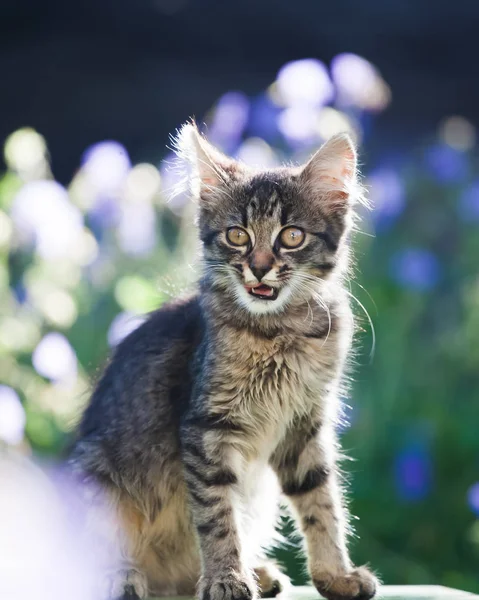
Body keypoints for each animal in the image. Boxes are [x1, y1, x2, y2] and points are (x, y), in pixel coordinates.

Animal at [71, 123, 378, 600]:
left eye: (291, 236)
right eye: (238, 235)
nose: (259, 268)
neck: (278, 332)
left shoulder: (304, 424)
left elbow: (321, 501)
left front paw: (335, 575)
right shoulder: (207, 430)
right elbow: (217, 518)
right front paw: (226, 580)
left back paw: (259, 571)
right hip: (95, 477)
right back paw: (123, 578)